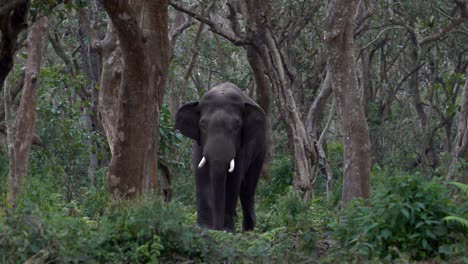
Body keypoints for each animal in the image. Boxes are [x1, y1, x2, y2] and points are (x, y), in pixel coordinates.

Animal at [175, 82, 266, 231]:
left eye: (237, 126)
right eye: (202, 125)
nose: (217, 227)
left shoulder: (242, 148)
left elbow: (234, 179)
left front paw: (228, 230)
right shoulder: (199, 145)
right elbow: (202, 176)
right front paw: (205, 227)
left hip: (261, 148)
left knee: (248, 188)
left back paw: (248, 230)